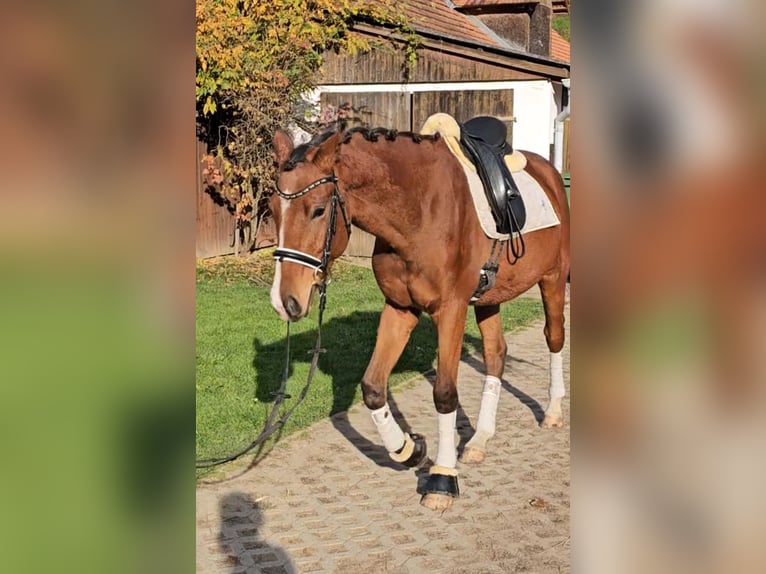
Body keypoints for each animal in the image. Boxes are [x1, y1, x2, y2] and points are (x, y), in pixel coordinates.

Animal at [270, 126, 568, 512]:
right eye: (271, 210)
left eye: (318, 210)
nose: (284, 301)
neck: (418, 211)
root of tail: (551, 172)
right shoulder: (400, 307)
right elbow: (373, 388)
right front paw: (409, 449)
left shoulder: (451, 310)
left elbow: (444, 394)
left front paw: (442, 478)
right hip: (490, 299)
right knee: (496, 354)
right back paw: (479, 440)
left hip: (553, 279)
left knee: (555, 338)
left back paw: (553, 412)